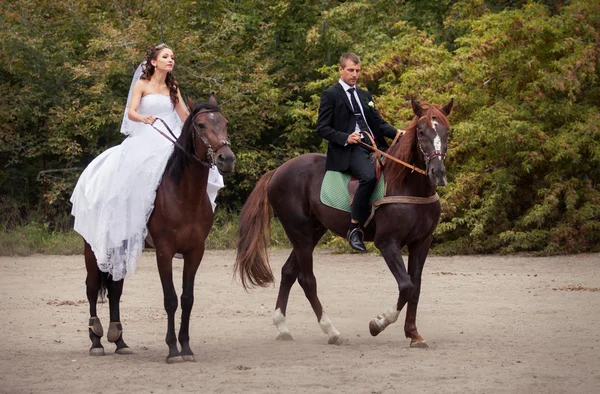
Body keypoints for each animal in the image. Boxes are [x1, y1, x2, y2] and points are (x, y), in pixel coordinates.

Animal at [83, 96, 236, 364]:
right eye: (201, 125)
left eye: (224, 122)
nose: (226, 159)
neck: (183, 194)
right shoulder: (164, 251)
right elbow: (171, 299)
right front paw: (173, 350)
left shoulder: (196, 251)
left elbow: (187, 299)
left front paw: (186, 347)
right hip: (93, 249)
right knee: (92, 288)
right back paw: (96, 341)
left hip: (120, 248)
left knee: (115, 290)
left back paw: (120, 341)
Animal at [234, 98, 450, 348]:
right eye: (421, 131)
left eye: (447, 132)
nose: (438, 173)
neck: (406, 186)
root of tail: (278, 170)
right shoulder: (388, 243)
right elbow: (406, 286)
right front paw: (378, 323)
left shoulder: (421, 243)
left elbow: (415, 287)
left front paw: (414, 334)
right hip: (300, 233)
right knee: (307, 279)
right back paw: (332, 331)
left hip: (313, 231)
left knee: (289, 272)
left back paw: (282, 327)